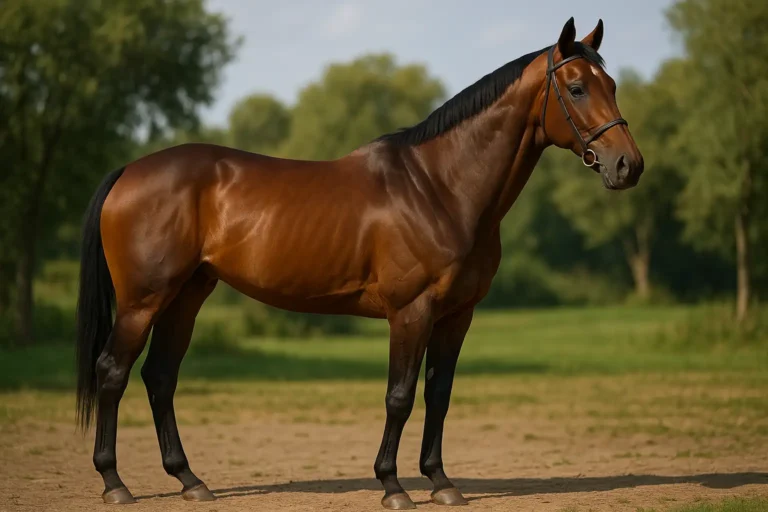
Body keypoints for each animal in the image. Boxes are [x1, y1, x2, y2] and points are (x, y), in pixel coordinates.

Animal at [75, 17, 643, 510]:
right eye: (576, 88)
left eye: (612, 83)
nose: (628, 166)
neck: (439, 186)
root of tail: (129, 171)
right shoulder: (411, 312)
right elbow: (400, 396)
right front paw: (393, 486)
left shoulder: (457, 316)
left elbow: (439, 394)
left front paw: (441, 482)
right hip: (143, 301)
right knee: (113, 372)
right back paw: (115, 483)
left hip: (187, 296)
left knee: (159, 377)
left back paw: (190, 480)